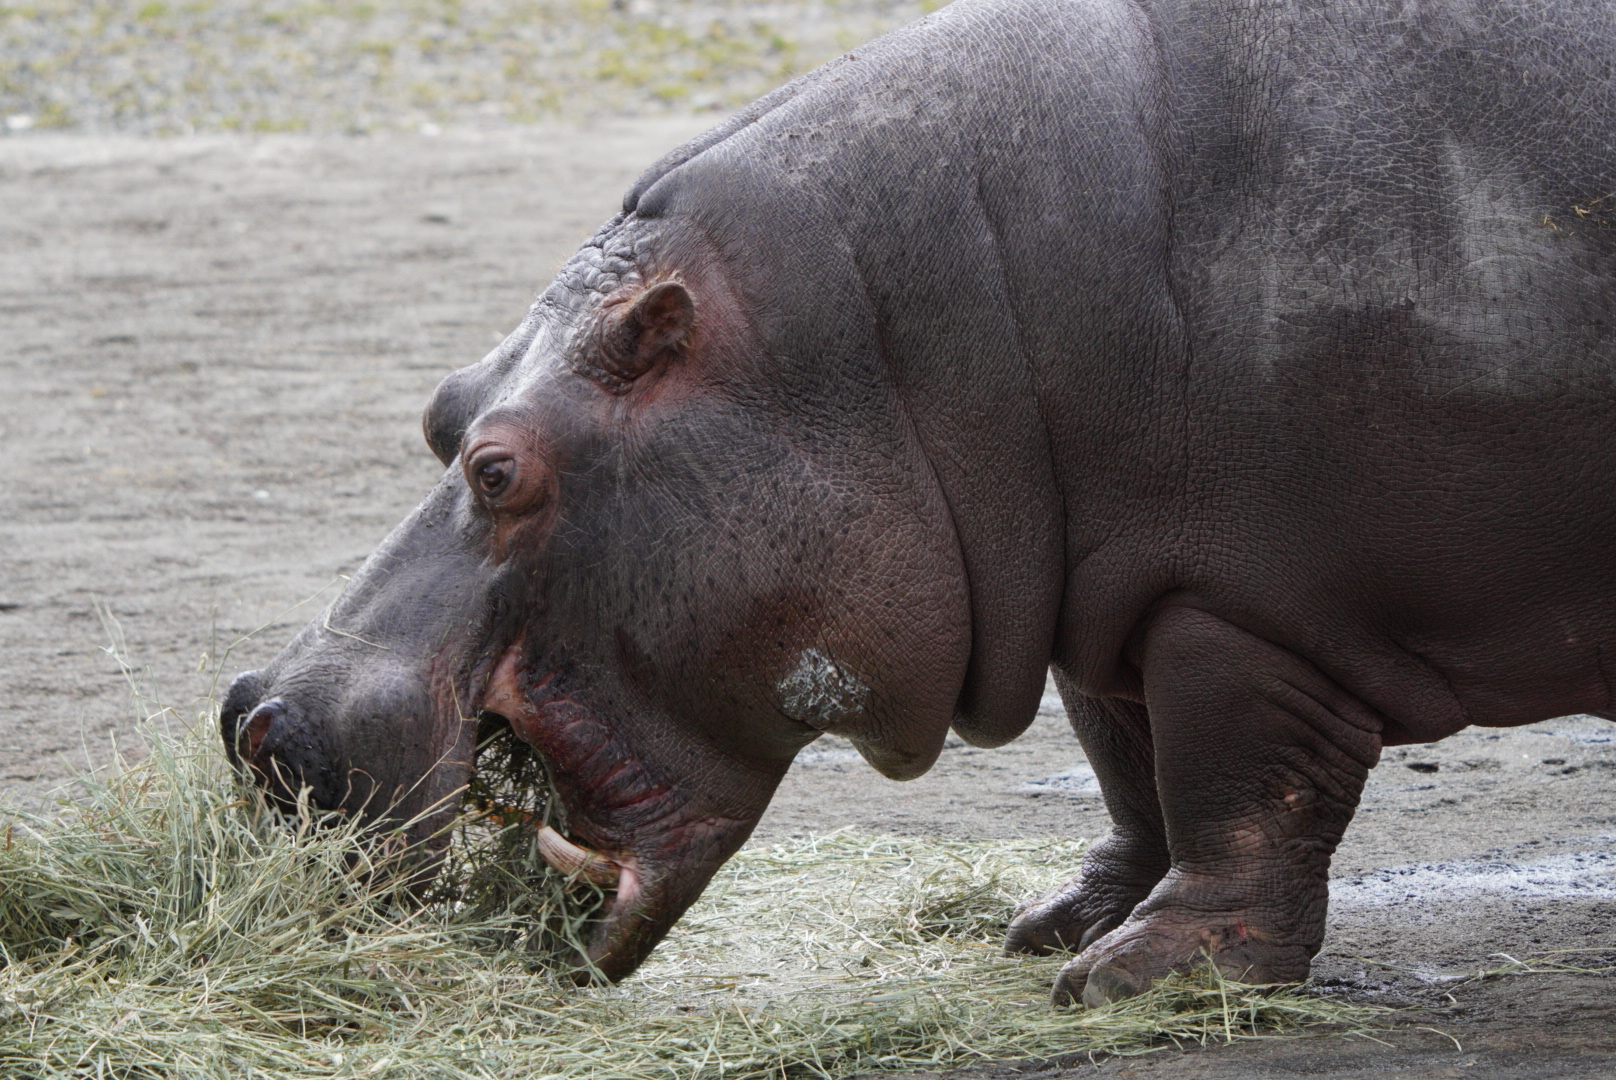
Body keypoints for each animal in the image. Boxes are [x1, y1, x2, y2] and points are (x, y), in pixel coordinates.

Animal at [221, 0, 1616, 1007]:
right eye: (440, 407)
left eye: (498, 468)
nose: (257, 716)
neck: (881, 341)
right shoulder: (1105, 584)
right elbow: (1128, 763)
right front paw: (1054, 927)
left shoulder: (1241, 605)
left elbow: (1231, 782)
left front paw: (1134, 978)